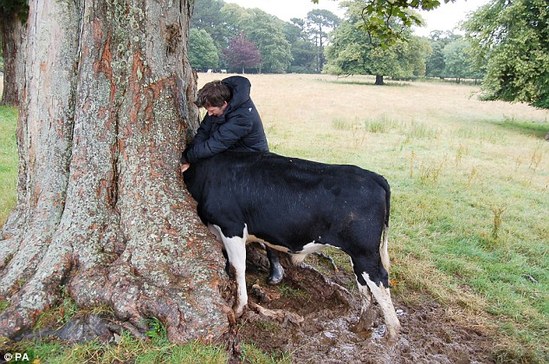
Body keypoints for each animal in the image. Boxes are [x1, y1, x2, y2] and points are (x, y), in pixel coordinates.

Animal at [182, 150, 400, 338]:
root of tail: (374, 177)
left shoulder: (231, 227)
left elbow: (237, 267)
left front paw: (238, 307)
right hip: (358, 253)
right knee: (363, 282)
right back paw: (362, 324)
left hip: (365, 251)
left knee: (379, 279)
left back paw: (392, 331)